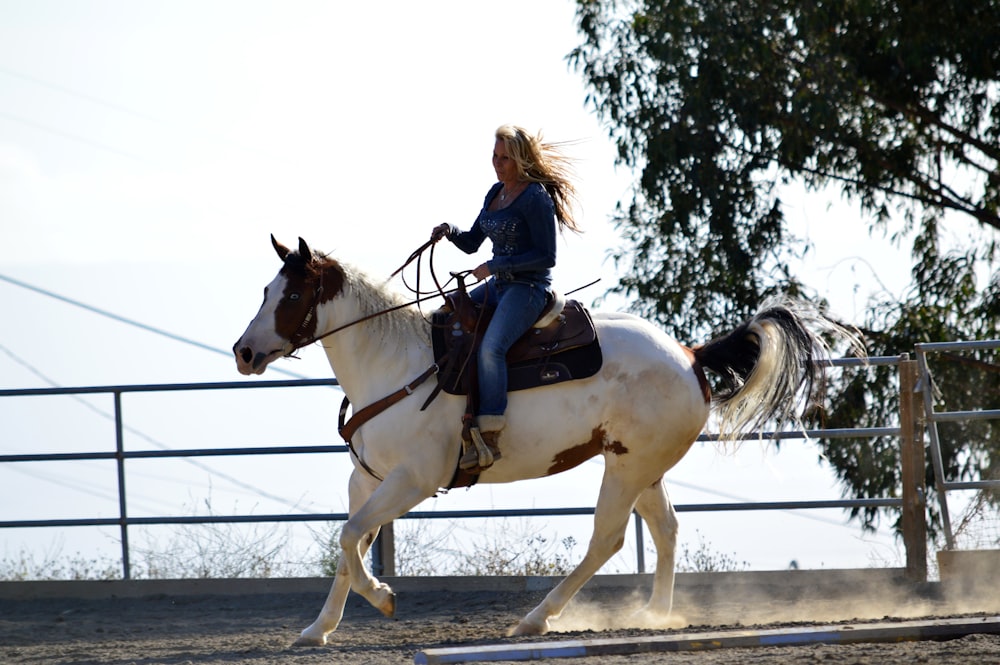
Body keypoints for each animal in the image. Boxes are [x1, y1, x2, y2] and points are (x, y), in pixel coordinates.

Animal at [230, 235, 864, 644]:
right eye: (263, 289)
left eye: (290, 296)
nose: (244, 351)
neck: (395, 363)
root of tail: (689, 355)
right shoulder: (368, 478)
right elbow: (347, 544)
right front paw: (317, 630)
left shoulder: (414, 480)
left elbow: (349, 539)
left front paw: (383, 596)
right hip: (642, 466)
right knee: (665, 528)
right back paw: (654, 617)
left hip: (627, 470)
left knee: (607, 540)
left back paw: (538, 618)